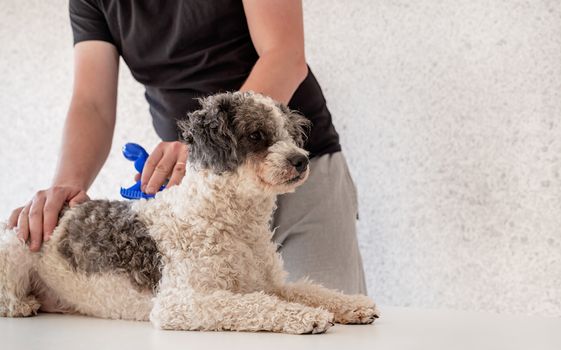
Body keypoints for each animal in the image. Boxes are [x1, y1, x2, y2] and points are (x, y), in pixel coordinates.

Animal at [0, 92, 378, 334]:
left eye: (290, 135)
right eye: (257, 135)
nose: (300, 160)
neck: (230, 224)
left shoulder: (268, 284)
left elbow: (309, 289)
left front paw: (351, 305)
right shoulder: (181, 302)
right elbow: (251, 305)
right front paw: (306, 316)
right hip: (14, 252)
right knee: (7, 297)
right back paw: (23, 304)